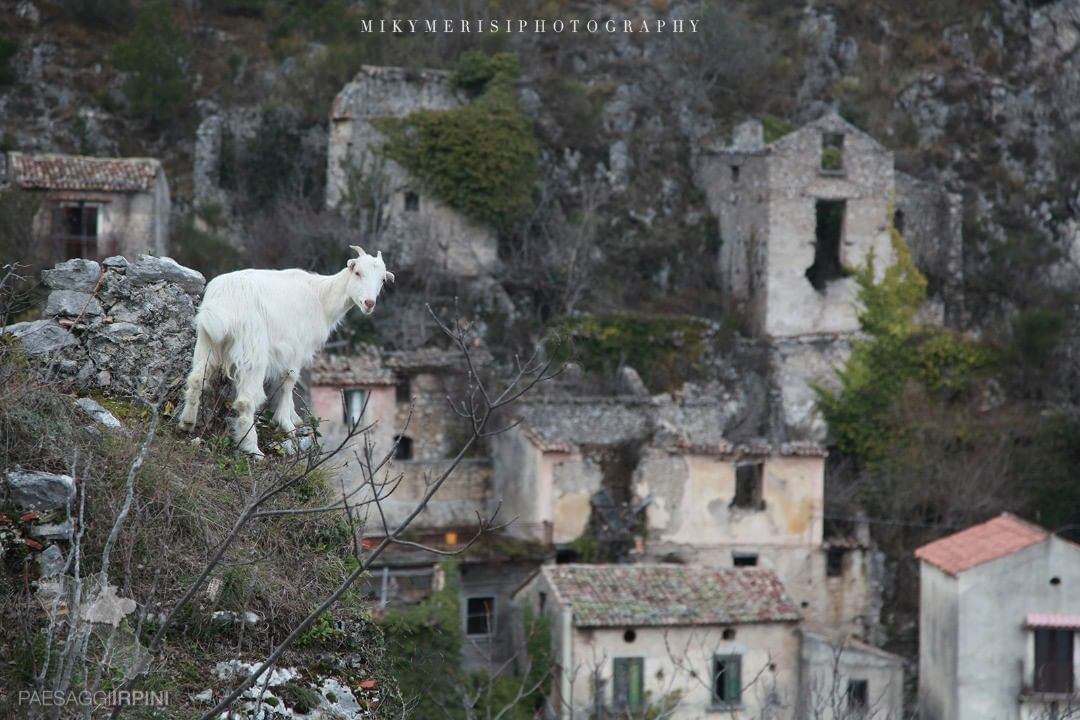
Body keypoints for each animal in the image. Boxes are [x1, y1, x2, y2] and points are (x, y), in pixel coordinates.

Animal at [179, 245, 395, 453]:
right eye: (357, 272)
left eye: (383, 279)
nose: (369, 303)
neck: (320, 296)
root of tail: (225, 301)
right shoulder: (296, 347)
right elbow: (289, 380)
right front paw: (287, 424)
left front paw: (293, 418)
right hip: (253, 349)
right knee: (245, 401)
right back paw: (252, 448)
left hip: (207, 341)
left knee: (197, 378)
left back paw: (187, 423)